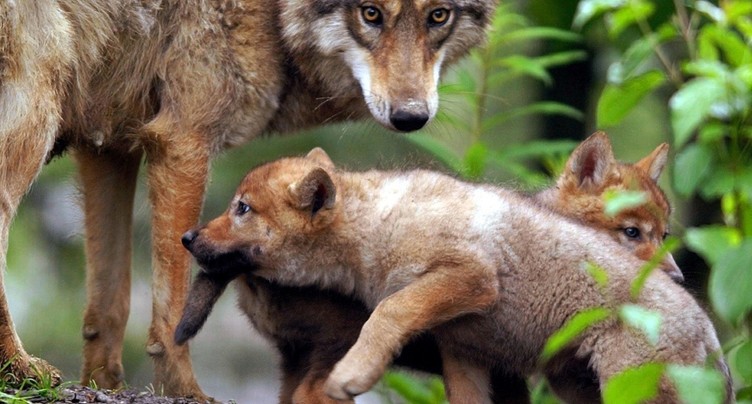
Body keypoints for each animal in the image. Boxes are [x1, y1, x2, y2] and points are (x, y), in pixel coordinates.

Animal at [0, 0, 495, 398]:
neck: (273, 15)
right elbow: (173, 312)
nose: (411, 117)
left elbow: (110, 303)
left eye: (439, 16)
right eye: (370, 13)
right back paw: (20, 370)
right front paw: (186, 392)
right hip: (39, 106)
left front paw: (103, 385)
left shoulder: (109, 147)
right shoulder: (183, 140)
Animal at [180, 147, 731, 403]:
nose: (187, 238)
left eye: (242, 208)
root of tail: (709, 333)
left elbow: (387, 313)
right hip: (574, 384)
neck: (377, 222)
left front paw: (354, 375)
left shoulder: (470, 276)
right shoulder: (465, 354)